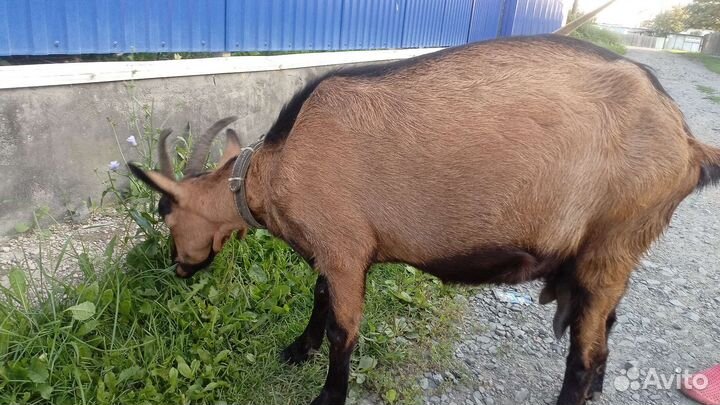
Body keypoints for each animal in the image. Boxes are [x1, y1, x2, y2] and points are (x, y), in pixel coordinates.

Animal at [128, 7, 720, 405]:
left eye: (165, 214)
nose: (178, 267)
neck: (274, 167)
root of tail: (688, 143)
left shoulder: (343, 248)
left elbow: (345, 330)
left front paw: (327, 394)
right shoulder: (333, 250)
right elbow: (319, 298)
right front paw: (299, 349)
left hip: (612, 241)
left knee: (586, 352)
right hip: (612, 251)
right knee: (605, 327)